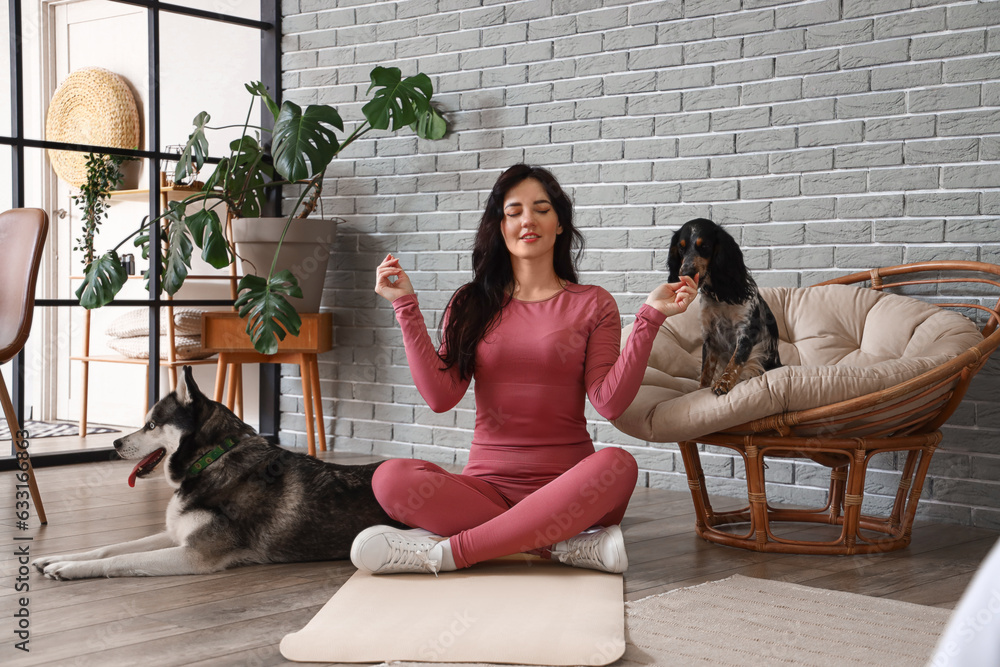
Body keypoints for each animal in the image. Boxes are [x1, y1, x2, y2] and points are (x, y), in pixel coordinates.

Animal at [35, 368, 402, 580]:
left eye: (151, 425)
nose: (115, 441)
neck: (210, 461)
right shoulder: (176, 534)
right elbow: (110, 548)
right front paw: (58, 558)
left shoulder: (194, 555)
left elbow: (123, 559)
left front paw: (70, 569)